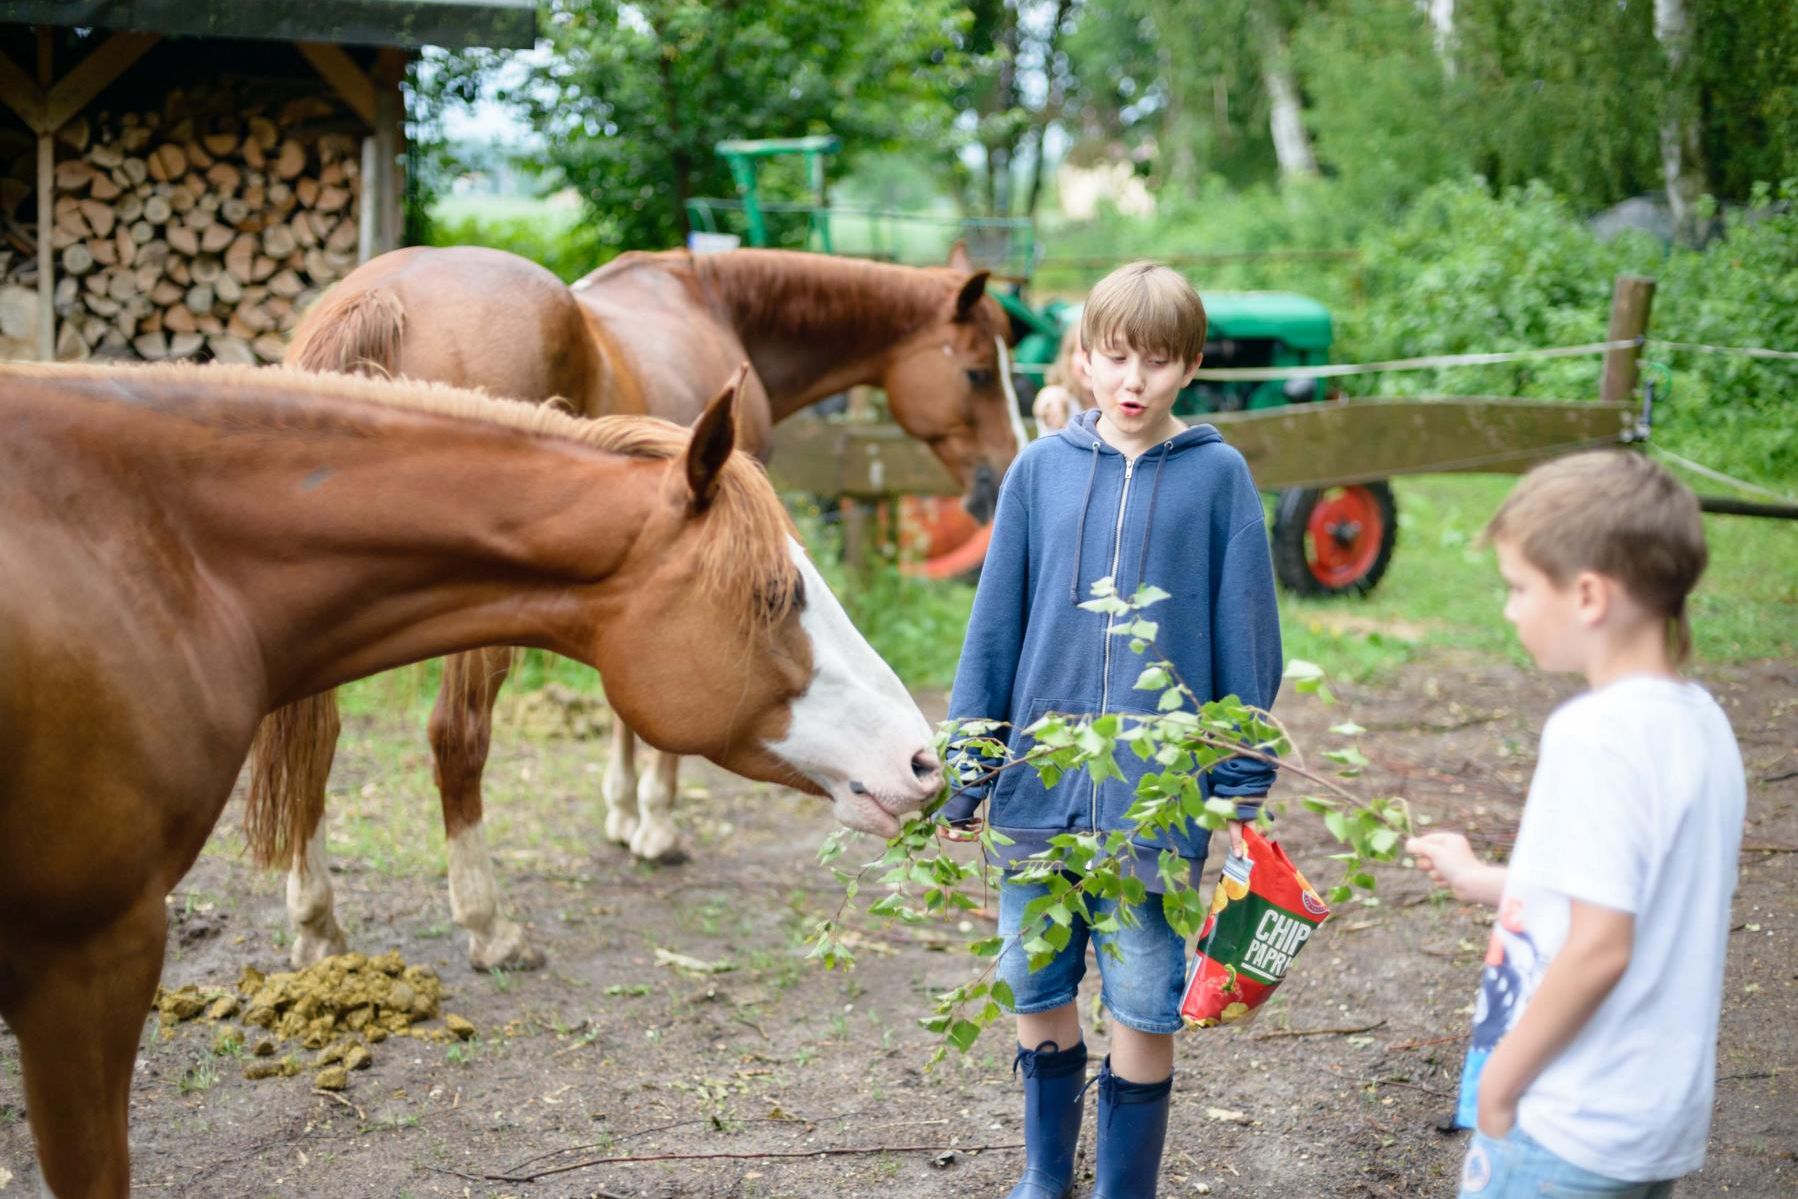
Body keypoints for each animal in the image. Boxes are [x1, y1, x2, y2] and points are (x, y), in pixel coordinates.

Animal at [271, 244, 1021, 977]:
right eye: (980, 373)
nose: (1005, 474)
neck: (714, 306)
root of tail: (382, 297)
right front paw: (655, 824)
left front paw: (623, 811)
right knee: (457, 736)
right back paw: (488, 925)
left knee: (318, 739)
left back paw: (317, 923)